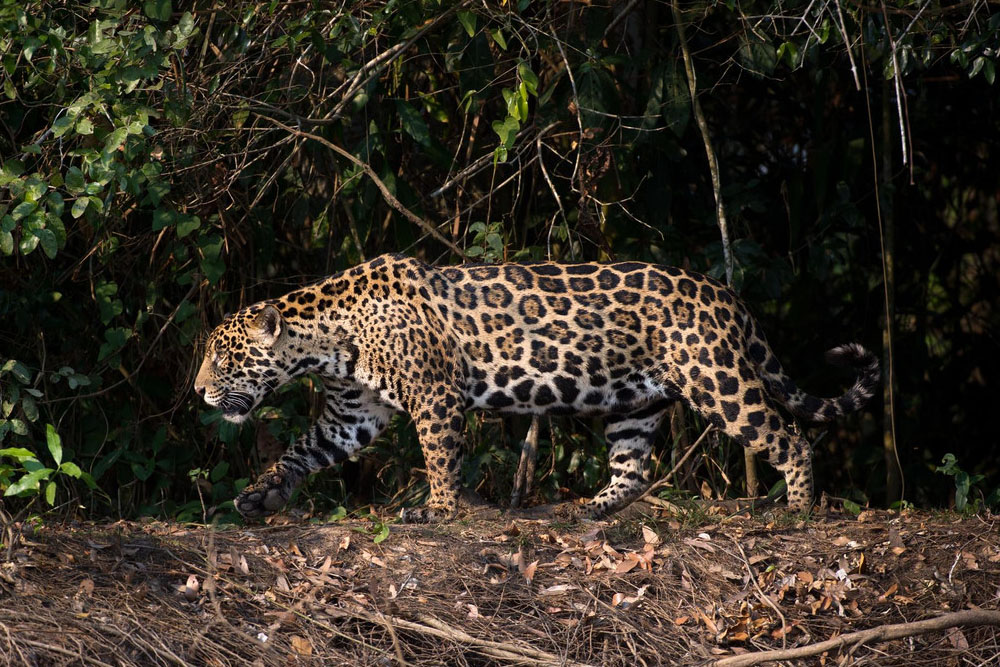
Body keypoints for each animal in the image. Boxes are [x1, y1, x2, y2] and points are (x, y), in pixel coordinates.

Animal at [194, 253, 879, 522]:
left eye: (222, 358)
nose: (198, 393)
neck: (328, 341)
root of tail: (725, 294)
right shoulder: (350, 415)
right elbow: (301, 452)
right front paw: (260, 496)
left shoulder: (435, 396)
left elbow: (440, 456)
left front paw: (437, 510)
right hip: (637, 399)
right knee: (633, 467)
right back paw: (593, 509)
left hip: (718, 379)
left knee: (790, 437)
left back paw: (798, 509)